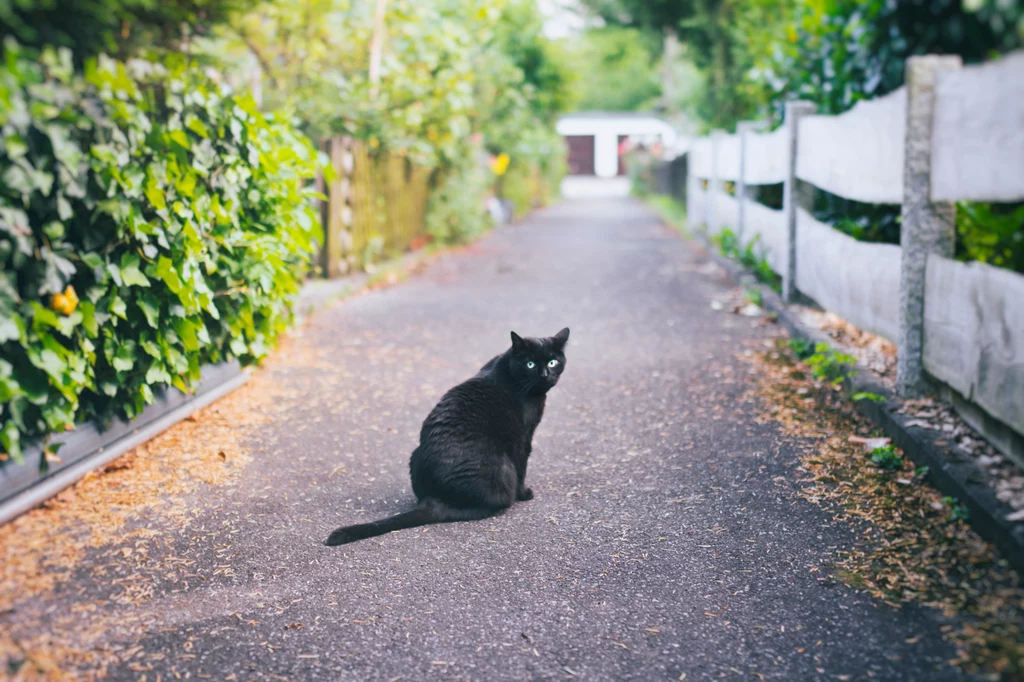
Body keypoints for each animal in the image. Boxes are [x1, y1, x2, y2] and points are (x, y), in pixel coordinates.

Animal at [323, 327, 569, 544]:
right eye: (530, 364)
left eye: (552, 362)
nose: (545, 375)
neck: (509, 370)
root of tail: (437, 500)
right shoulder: (523, 437)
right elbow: (522, 468)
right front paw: (525, 493)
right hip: (503, 467)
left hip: (414, 455)